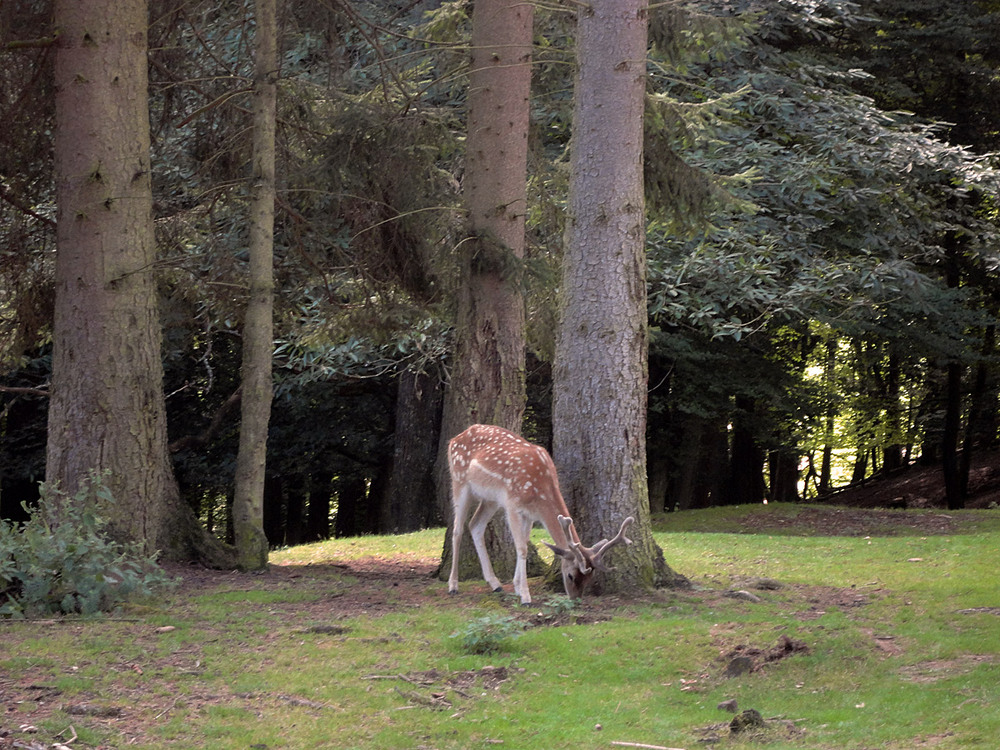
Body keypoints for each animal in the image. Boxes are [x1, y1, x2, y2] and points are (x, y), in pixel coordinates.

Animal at [448, 424, 632, 604]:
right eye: (570, 576)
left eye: (589, 579)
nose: (575, 600)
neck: (540, 490)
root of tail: (454, 439)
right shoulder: (512, 504)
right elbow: (522, 548)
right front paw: (525, 597)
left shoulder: (529, 514)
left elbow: (524, 542)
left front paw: (517, 587)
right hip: (459, 480)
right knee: (457, 530)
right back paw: (453, 586)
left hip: (490, 498)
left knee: (475, 525)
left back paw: (495, 584)